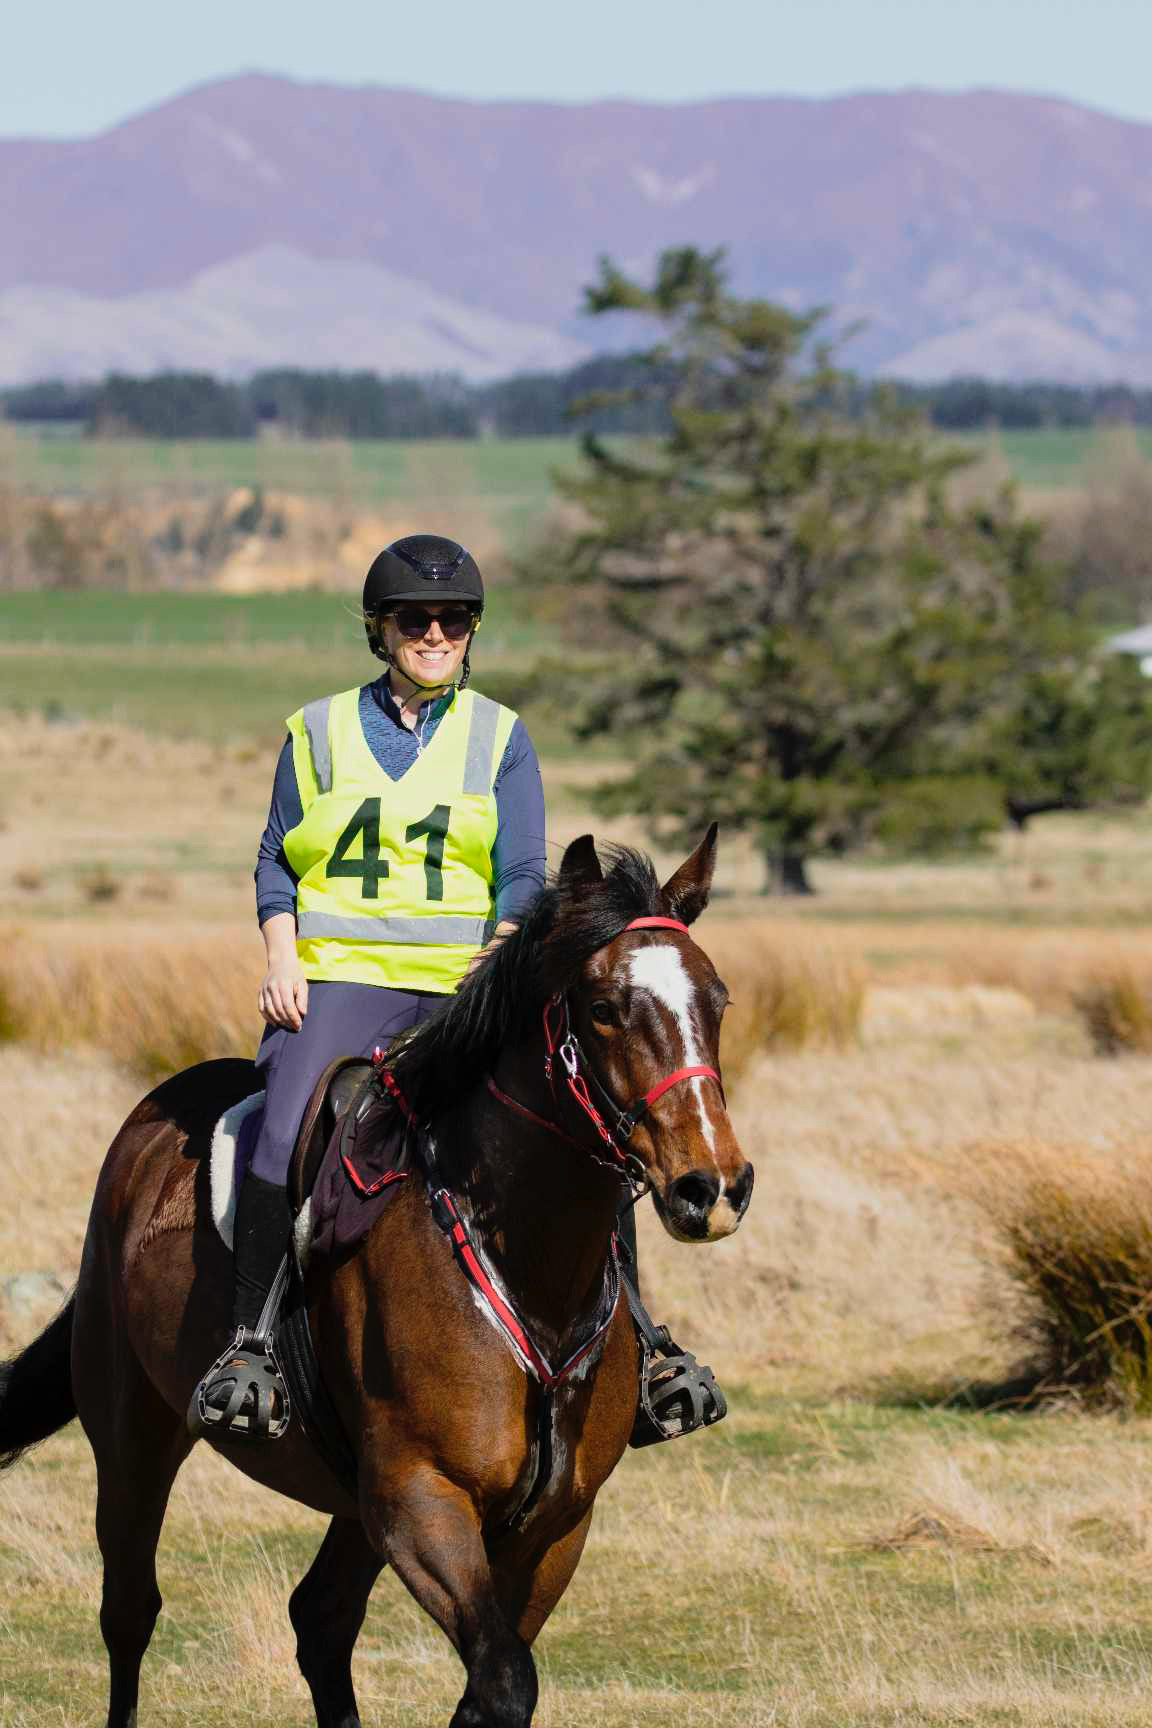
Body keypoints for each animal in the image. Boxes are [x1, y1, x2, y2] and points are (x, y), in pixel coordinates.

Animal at [0, 829, 753, 1721]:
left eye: (718, 1001)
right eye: (602, 1008)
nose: (712, 1187)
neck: (528, 1272)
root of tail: (149, 1125)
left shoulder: (556, 1525)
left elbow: (488, 1681)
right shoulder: (419, 1500)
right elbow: (505, 1679)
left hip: (349, 1499)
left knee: (319, 1619)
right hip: (132, 1438)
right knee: (130, 1611)